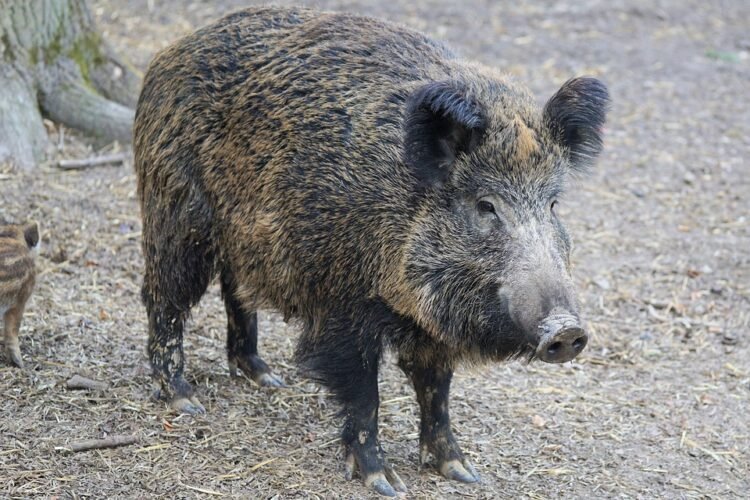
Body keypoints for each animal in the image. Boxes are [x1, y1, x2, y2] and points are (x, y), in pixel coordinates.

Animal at [134, 7, 609, 496]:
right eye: (485, 205)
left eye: (553, 204)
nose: (567, 331)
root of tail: (172, 52)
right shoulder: (341, 305)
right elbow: (365, 394)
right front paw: (384, 483)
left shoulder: (429, 328)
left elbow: (437, 391)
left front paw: (462, 472)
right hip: (176, 215)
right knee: (163, 299)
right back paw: (185, 401)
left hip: (242, 239)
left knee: (236, 291)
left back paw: (267, 379)